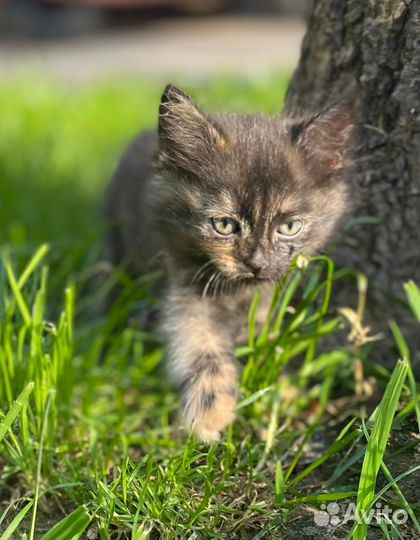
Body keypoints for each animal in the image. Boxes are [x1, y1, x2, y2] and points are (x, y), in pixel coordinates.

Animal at [105, 83, 354, 438]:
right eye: (224, 225)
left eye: (289, 227)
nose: (257, 263)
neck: (239, 292)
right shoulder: (185, 296)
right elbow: (202, 350)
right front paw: (210, 417)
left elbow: (269, 345)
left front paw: (285, 391)